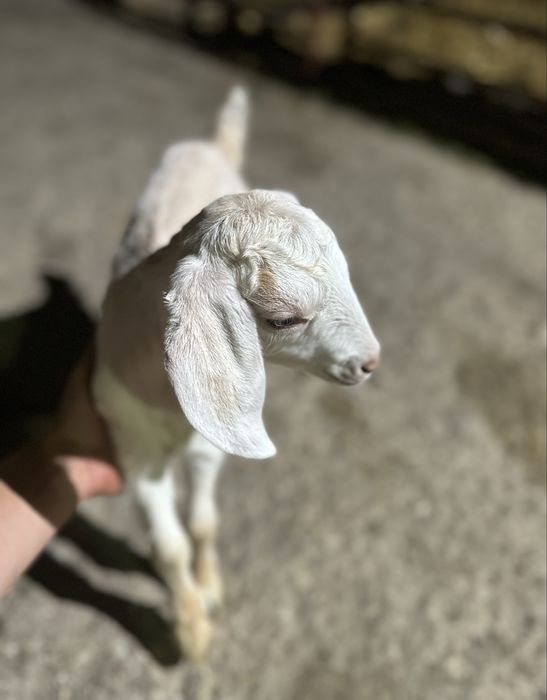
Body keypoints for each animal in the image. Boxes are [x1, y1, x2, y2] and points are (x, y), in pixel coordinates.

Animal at [93, 87, 380, 660]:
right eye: (283, 319)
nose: (370, 361)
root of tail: (213, 142)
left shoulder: (206, 443)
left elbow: (204, 522)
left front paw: (210, 589)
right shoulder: (133, 448)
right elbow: (170, 546)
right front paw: (191, 631)